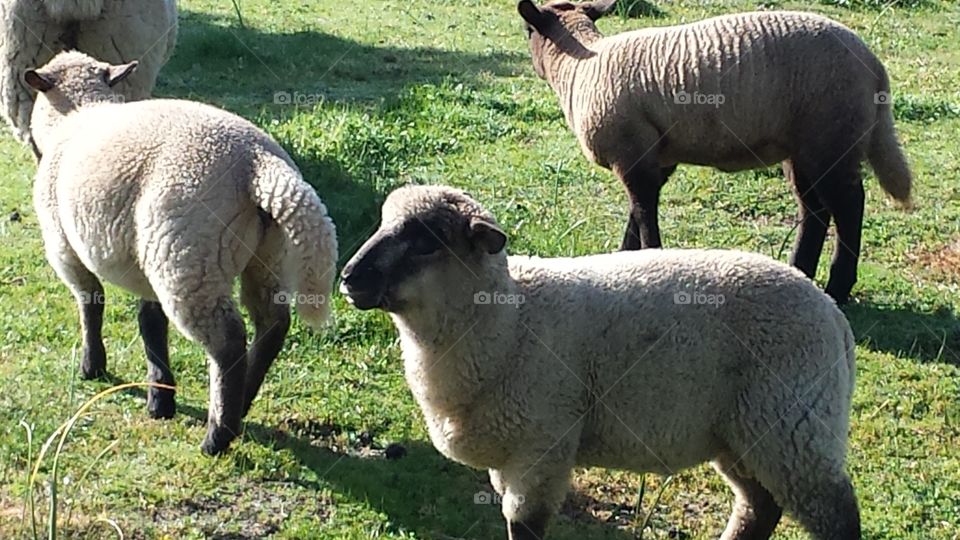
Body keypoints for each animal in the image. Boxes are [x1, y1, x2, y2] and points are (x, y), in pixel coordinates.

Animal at [26, 51, 338, 455]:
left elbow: (90, 303)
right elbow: (150, 322)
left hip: (187, 257)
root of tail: (258, 162)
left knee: (227, 342)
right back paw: (243, 402)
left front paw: (92, 366)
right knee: (272, 323)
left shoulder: (64, 245)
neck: (77, 116)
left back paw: (217, 436)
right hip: (255, 255)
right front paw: (160, 397)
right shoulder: (145, 260)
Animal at [340, 185, 860, 540]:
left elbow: (524, 527)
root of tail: (832, 315)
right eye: (383, 224)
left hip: (793, 424)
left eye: (427, 240)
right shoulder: (509, 456)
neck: (508, 322)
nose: (349, 277)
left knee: (834, 514)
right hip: (744, 433)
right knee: (760, 508)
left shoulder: (541, 448)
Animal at [517, 0, 913, 304]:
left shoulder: (631, 153)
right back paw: (799, 268)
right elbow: (637, 211)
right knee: (814, 209)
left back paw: (838, 287)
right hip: (804, 147)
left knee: (849, 206)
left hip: (831, 135)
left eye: (526, 30)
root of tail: (874, 68)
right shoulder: (654, 156)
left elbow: (643, 211)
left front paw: (649, 256)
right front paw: (625, 256)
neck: (580, 68)